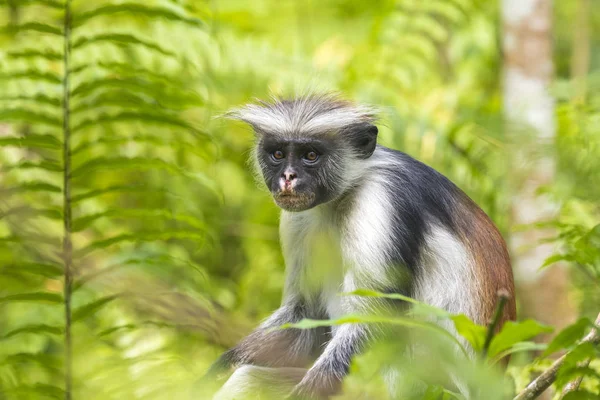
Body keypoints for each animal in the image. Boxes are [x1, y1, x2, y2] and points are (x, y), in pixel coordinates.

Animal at [206, 94, 516, 400]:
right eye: (278, 154)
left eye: (311, 155)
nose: (287, 177)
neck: (342, 195)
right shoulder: (298, 219)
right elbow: (307, 315)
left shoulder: (382, 199)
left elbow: (376, 317)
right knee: (246, 379)